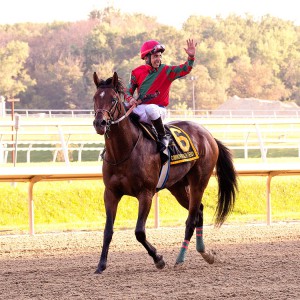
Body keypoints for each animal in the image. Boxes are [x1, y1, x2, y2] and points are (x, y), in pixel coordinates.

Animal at [92, 71, 238, 274]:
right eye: (95, 98)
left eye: (113, 99)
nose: (100, 123)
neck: (124, 151)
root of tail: (208, 134)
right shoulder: (111, 193)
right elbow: (107, 231)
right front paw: (101, 265)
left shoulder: (145, 193)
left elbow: (139, 232)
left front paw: (158, 258)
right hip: (177, 187)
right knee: (199, 211)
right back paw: (205, 252)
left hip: (199, 182)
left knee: (191, 219)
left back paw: (181, 258)